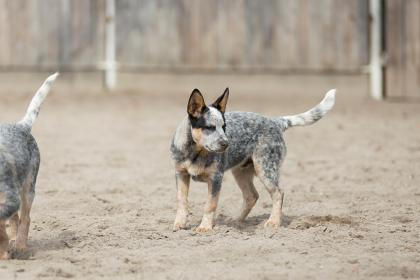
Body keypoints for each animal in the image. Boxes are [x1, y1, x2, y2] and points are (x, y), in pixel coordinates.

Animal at [0, 72, 58, 258]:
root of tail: (21, 125)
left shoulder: (10, 199)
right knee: (15, 220)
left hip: (28, 188)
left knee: (25, 218)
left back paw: (20, 247)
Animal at [169, 88, 336, 232]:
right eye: (209, 127)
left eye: (224, 126)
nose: (227, 144)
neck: (196, 152)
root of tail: (275, 122)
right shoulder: (181, 174)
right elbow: (181, 200)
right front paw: (179, 224)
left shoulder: (216, 178)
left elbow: (210, 205)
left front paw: (204, 227)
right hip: (240, 172)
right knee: (252, 196)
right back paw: (235, 221)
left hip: (265, 168)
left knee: (278, 193)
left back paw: (273, 222)